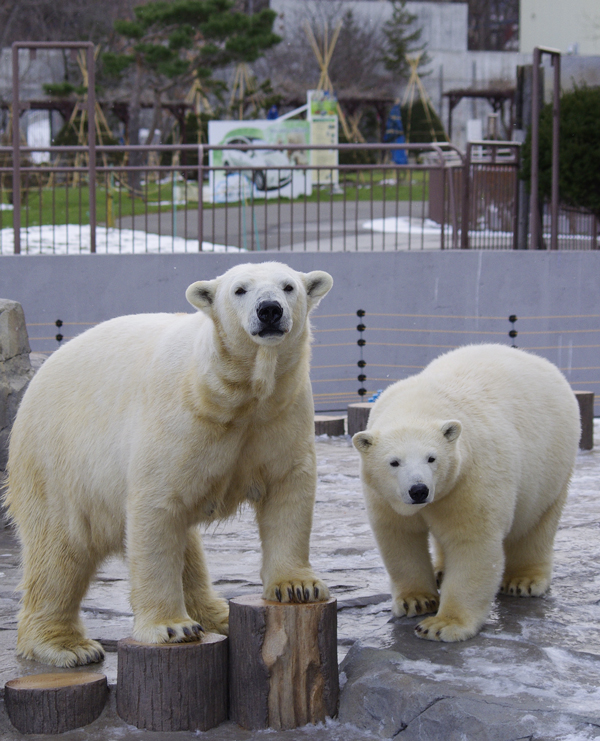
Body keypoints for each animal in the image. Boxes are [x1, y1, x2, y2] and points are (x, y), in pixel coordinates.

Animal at [4, 260, 332, 664]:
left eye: (288, 287)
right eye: (239, 289)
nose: (269, 310)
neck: (234, 393)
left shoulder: (281, 413)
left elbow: (288, 488)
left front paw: (298, 587)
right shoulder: (179, 421)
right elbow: (157, 508)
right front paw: (171, 627)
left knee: (187, 551)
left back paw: (217, 615)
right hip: (59, 461)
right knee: (59, 549)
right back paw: (66, 644)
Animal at [354, 344, 580, 640]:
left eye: (432, 458)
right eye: (394, 462)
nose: (419, 490)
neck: (419, 404)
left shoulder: (470, 476)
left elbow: (471, 540)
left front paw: (441, 625)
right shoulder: (383, 495)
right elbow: (399, 535)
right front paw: (417, 600)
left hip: (551, 464)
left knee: (536, 523)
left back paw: (523, 580)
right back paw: (440, 570)